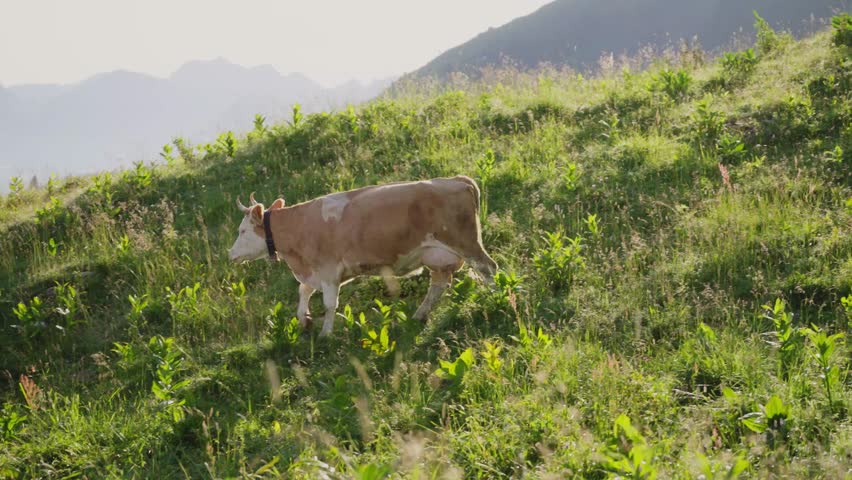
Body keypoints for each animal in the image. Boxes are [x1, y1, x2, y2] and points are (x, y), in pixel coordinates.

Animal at [228, 176, 498, 337]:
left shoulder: (328, 270)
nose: (230, 254)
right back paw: (420, 314)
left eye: (242, 231)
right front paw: (304, 318)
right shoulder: (317, 271)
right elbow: (303, 290)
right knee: (440, 285)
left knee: (489, 268)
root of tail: (457, 179)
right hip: (437, 255)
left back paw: (497, 297)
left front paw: (325, 333)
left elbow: (329, 303)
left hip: (466, 243)